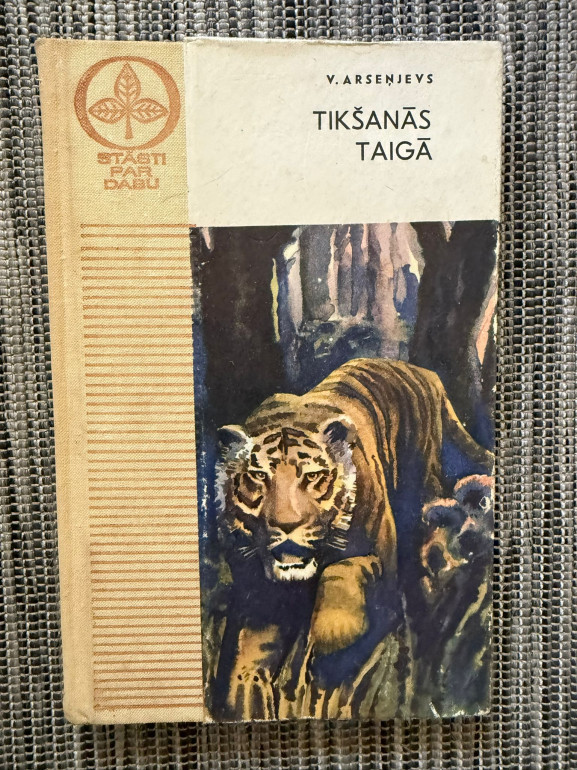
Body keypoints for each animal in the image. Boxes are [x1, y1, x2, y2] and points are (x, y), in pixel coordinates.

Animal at [211, 358, 493, 720]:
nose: (287, 525)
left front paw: (332, 638)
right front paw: (244, 698)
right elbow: (245, 658)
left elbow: (348, 571)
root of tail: (423, 372)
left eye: (313, 476)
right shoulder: (257, 597)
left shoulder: (380, 564)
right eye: (259, 476)